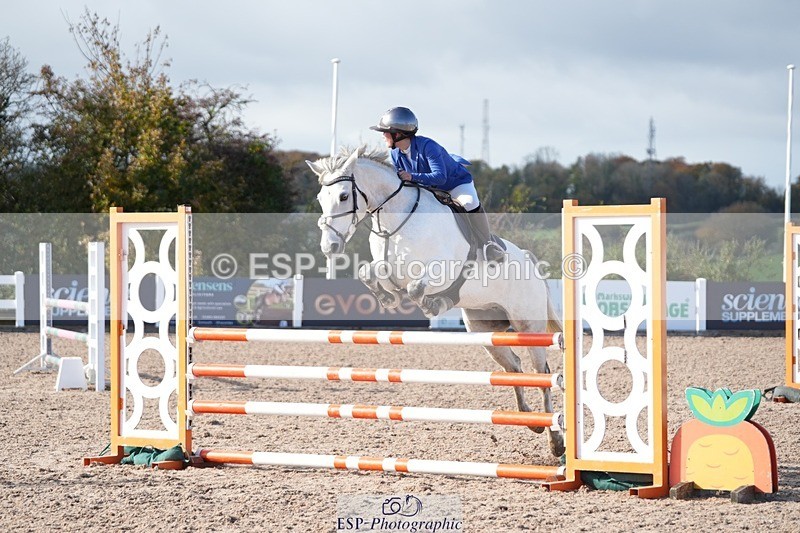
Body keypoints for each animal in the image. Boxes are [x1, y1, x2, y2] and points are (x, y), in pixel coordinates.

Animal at [307, 145, 565, 458]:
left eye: (344, 196)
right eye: (321, 198)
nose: (329, 247)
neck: (396, 220)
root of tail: (529, 260)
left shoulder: (440, 271)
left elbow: (417, 287)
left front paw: (431, 304)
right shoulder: (387, 267)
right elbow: (370, 272)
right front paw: (388, 298)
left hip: (529, 326)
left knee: (543, 375)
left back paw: (555, 440)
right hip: (484, 330)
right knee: (514, 368)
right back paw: (530, 421)